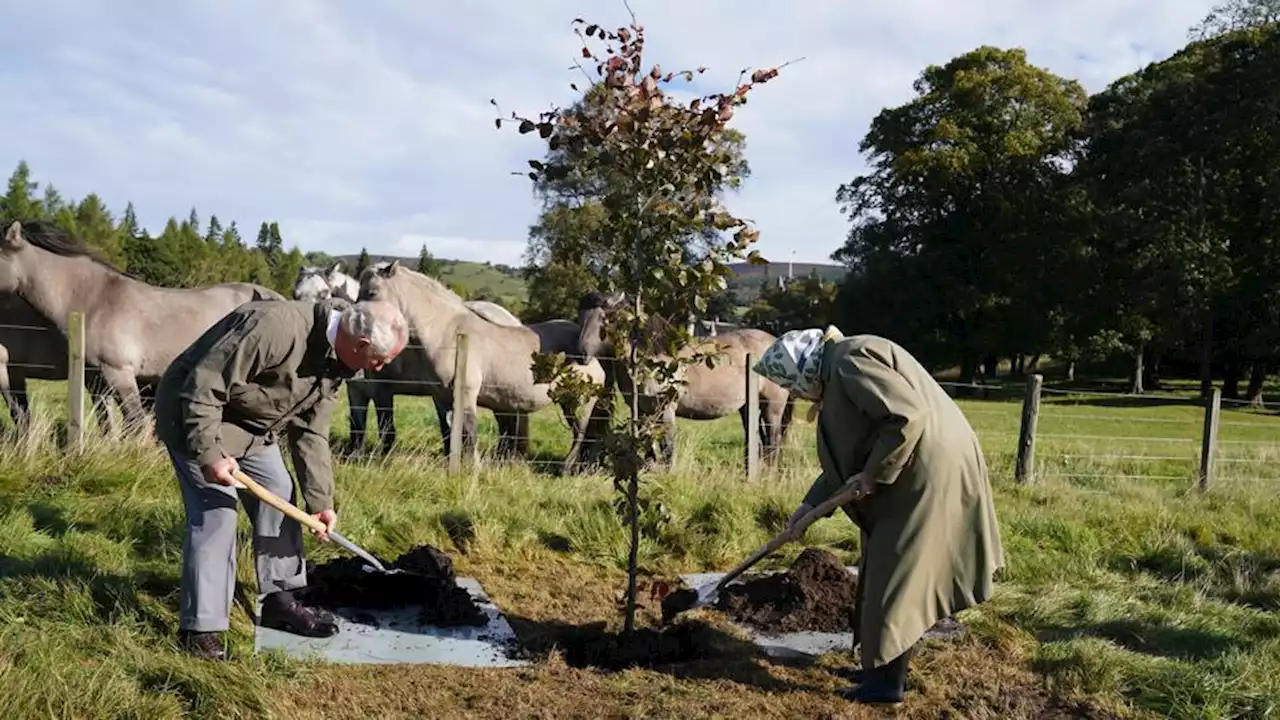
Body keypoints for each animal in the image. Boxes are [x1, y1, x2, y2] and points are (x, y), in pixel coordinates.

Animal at [355, 258, 604, 471]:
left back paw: (565, 469)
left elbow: (470, 433)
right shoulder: (442, 398)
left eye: (372, 292)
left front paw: (474, 469)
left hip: (578, 403)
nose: (357, 329)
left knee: (580, 434)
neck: (448, 332)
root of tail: (591, 355)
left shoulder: (466, 395)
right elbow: (451, 434)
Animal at [576, 288, 793, 468]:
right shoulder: (643, 411)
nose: (581, 354)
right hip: (747, 407)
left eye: (606, 318)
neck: (654, 360)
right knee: (756, 440)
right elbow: (649, 447)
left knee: (773, 441)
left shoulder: (666, 410)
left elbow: (667, 449)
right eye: (581, 316)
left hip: (773, 407)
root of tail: (775, 342)